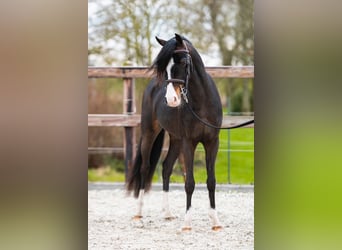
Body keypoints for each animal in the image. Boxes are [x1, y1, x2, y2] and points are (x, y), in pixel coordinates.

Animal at [127, 33, 223, 230]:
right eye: (165, 68)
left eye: (184, 62)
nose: (171, 99)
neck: (202, 103)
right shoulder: (189, 142)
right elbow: (189, 182)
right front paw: (187, 223)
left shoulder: (212, 142)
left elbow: (211, 181)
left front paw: (215, 221)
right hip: (150, 133)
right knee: (145, 167)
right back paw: (139, 213)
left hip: (176, 139)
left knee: (166, 168)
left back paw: (168, 213)